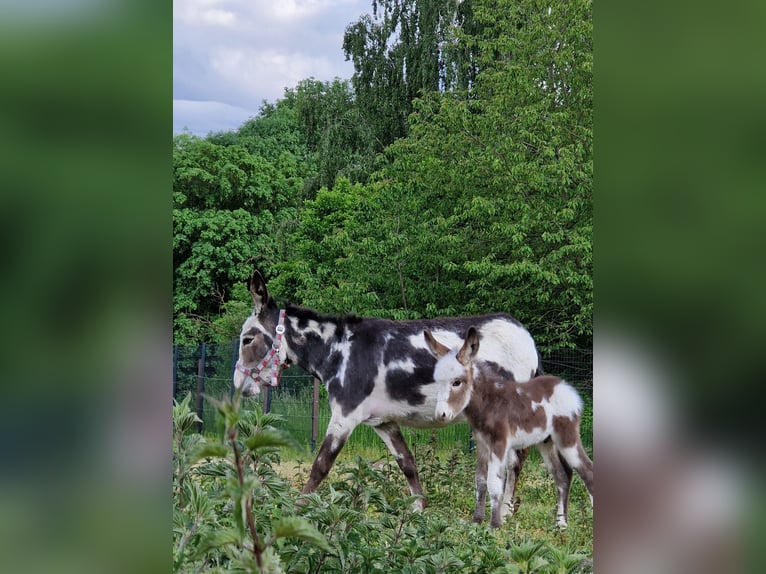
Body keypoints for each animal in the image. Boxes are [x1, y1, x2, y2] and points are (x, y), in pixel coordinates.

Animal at [233, 269, 543, 511]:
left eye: (247, 339)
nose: (238, 384)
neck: (340, 351)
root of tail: (524, 334)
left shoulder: (345, 416)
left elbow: (321, 465)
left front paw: (297, 509)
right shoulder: (383, 422)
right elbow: (407, 463)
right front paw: (418, 512)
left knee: (515, 460)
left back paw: (505, 509)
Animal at [424, 326, 593, 528]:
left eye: (457, 382)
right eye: (437, 382)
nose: (441, 415)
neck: (489, 402)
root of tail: (566, 387)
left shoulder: (500, 442)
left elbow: (495, 483)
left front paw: (495, 525)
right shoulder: (482, 444)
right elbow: (480, 480)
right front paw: (476, 521)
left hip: (567, 437)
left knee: (588, 471)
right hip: (546, 441)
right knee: (562, 476)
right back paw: (561, 525)